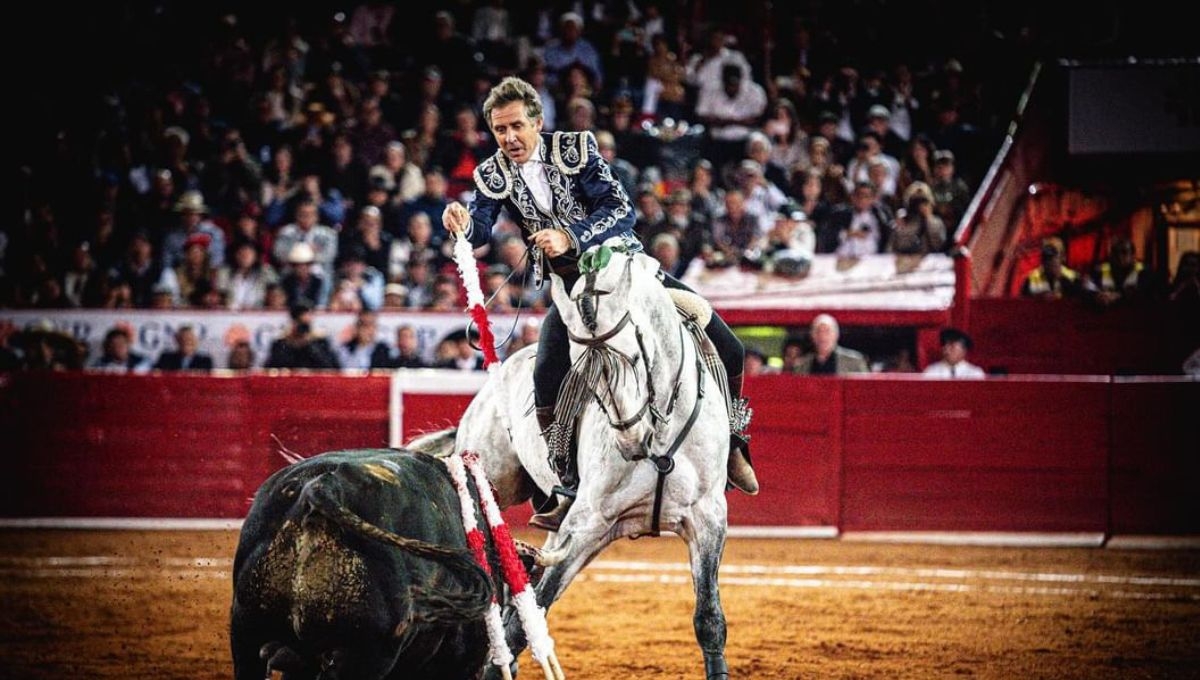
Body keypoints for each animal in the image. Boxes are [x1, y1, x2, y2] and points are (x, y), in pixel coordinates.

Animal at [432, 247, 729, 680]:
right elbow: (526, 619)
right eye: (586, 370)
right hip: (496, 485)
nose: (631, 440)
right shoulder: (586, 523)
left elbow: (709, 618)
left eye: (637, 355)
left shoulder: (708, 519)